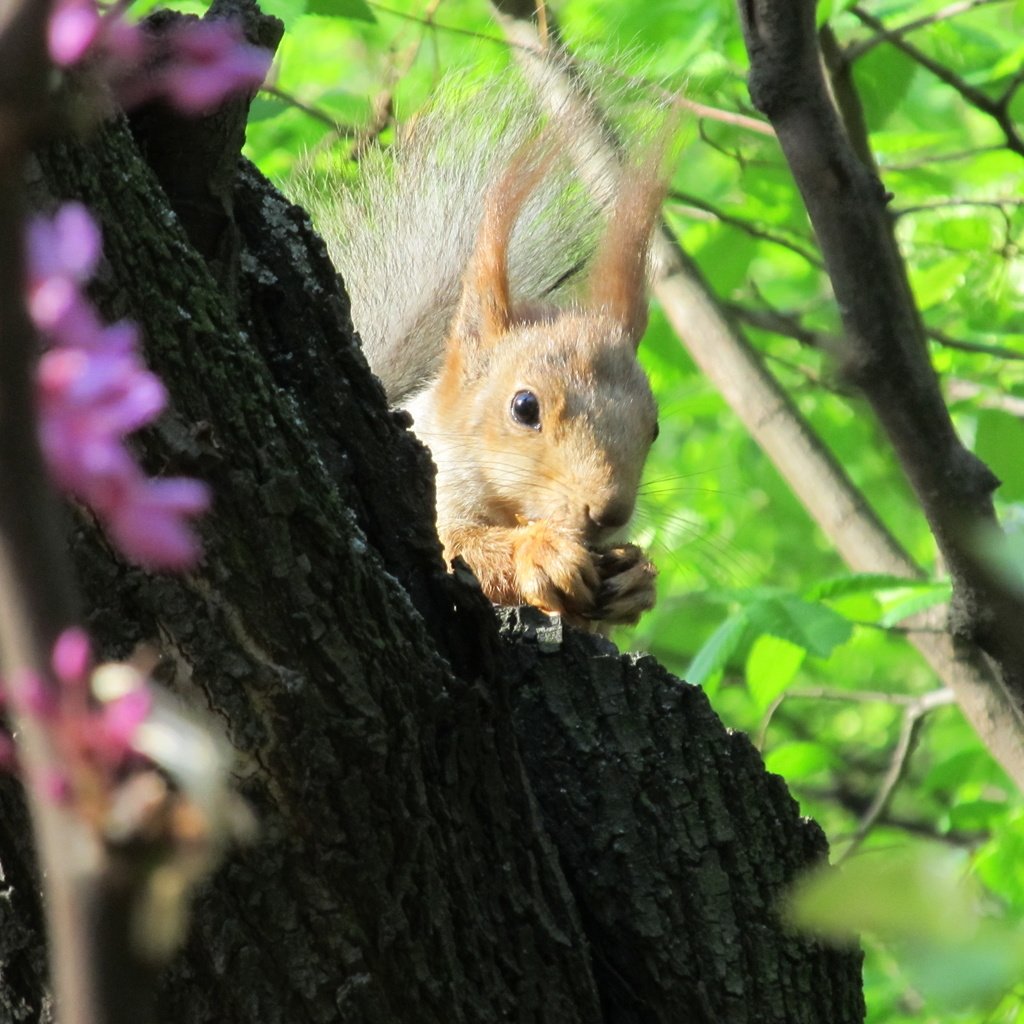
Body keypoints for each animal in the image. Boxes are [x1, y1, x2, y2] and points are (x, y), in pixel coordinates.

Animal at [301, 74, 671, 622]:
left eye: (654, 428)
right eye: (524, 407)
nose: (610, 512)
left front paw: (636, 577)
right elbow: (456, 545)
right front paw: (540, 552)